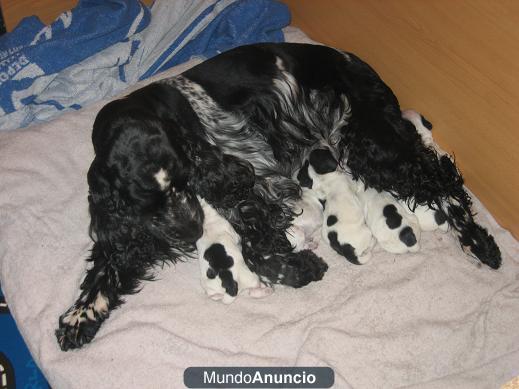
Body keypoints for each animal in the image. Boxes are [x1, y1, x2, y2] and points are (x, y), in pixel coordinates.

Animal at [55, 42, 500, 348]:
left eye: (184, 181)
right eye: (146, 202)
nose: (190, 231)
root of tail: (357, 62)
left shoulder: (245, 181)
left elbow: (259, 244)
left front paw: (300, 268)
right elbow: (110, 260)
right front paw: (80, 316)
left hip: (373, 141)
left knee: (439, 176)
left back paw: (479, 242)